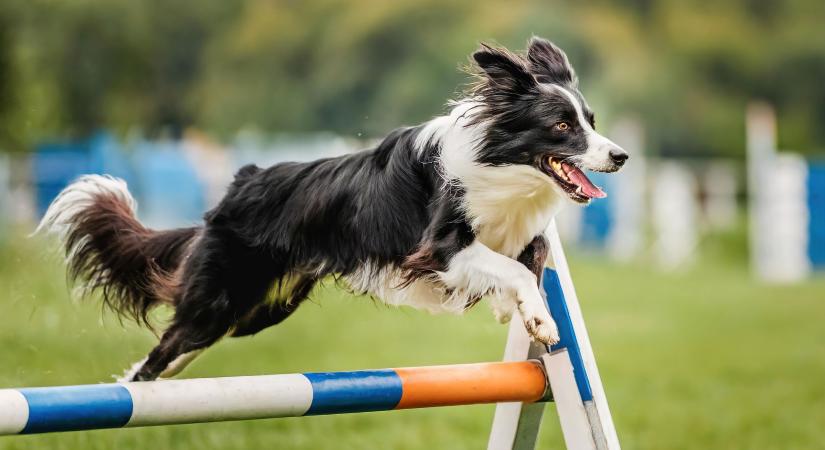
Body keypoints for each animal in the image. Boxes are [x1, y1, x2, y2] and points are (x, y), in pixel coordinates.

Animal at [37, 38, 624, 382]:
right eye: (562, 126)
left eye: (591, 121)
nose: (619, 155)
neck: (503, 166)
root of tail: (239, 184)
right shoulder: (440, 247)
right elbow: (512, 270)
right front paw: (539, 321)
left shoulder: (518, 232)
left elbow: (533, 258)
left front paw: (518, 312)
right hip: (221, 299)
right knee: (163, 351)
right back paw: (133, 393)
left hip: (258, 310)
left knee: (175, 351)